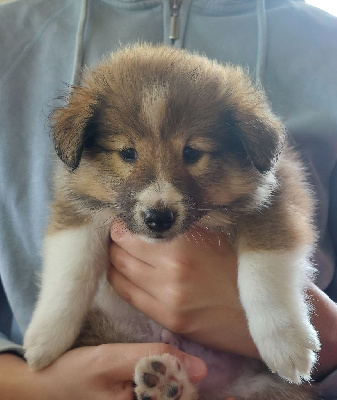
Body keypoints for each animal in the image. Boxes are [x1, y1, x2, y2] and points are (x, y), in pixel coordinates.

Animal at [24, 44, 320, 400]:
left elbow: (264, 275)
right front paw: (45, 338)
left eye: (192, 153)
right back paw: (164, 382)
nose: (158, 218)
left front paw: (286, 343)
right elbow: (70, 273)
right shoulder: (77, 209)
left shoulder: (276, 201)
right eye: (127, 153)